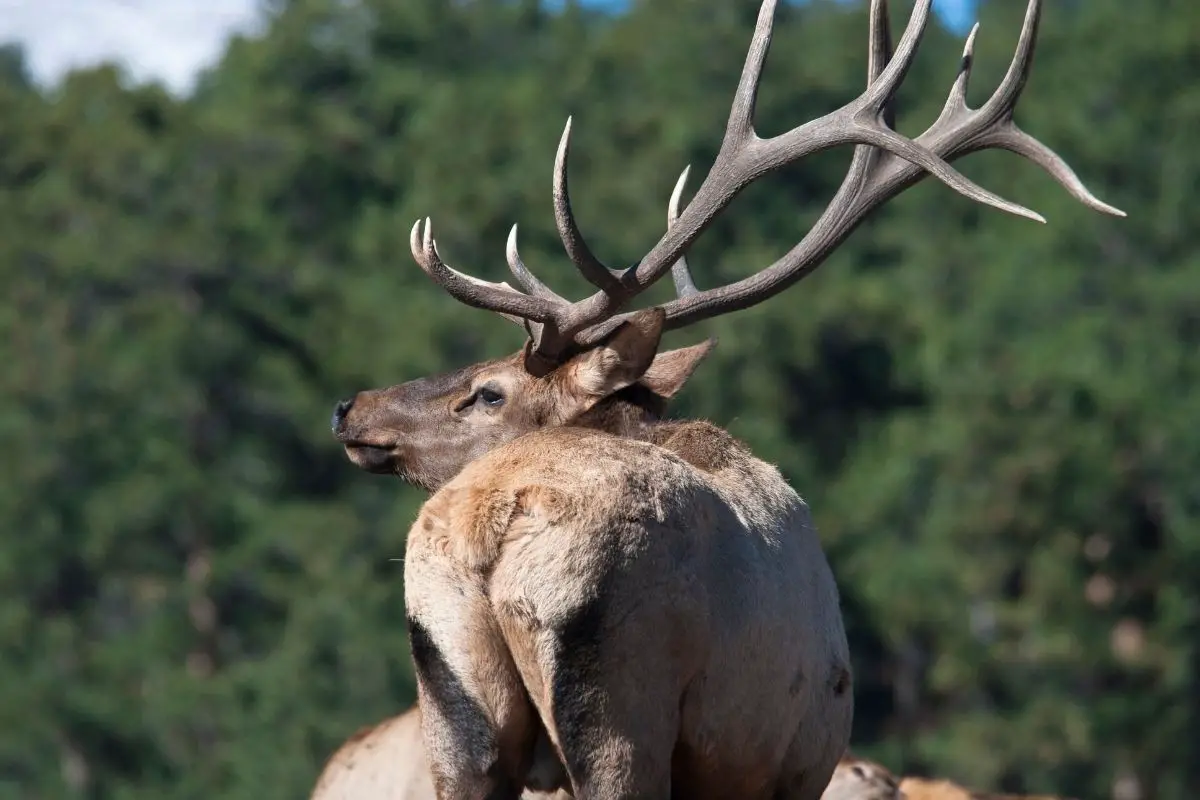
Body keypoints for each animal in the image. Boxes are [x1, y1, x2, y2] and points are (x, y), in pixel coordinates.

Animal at [331, 0, 1123, 796]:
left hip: (470, 706)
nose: (350, 407)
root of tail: (490, 529)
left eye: (489, 393)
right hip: (625, 706)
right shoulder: (799, 755)